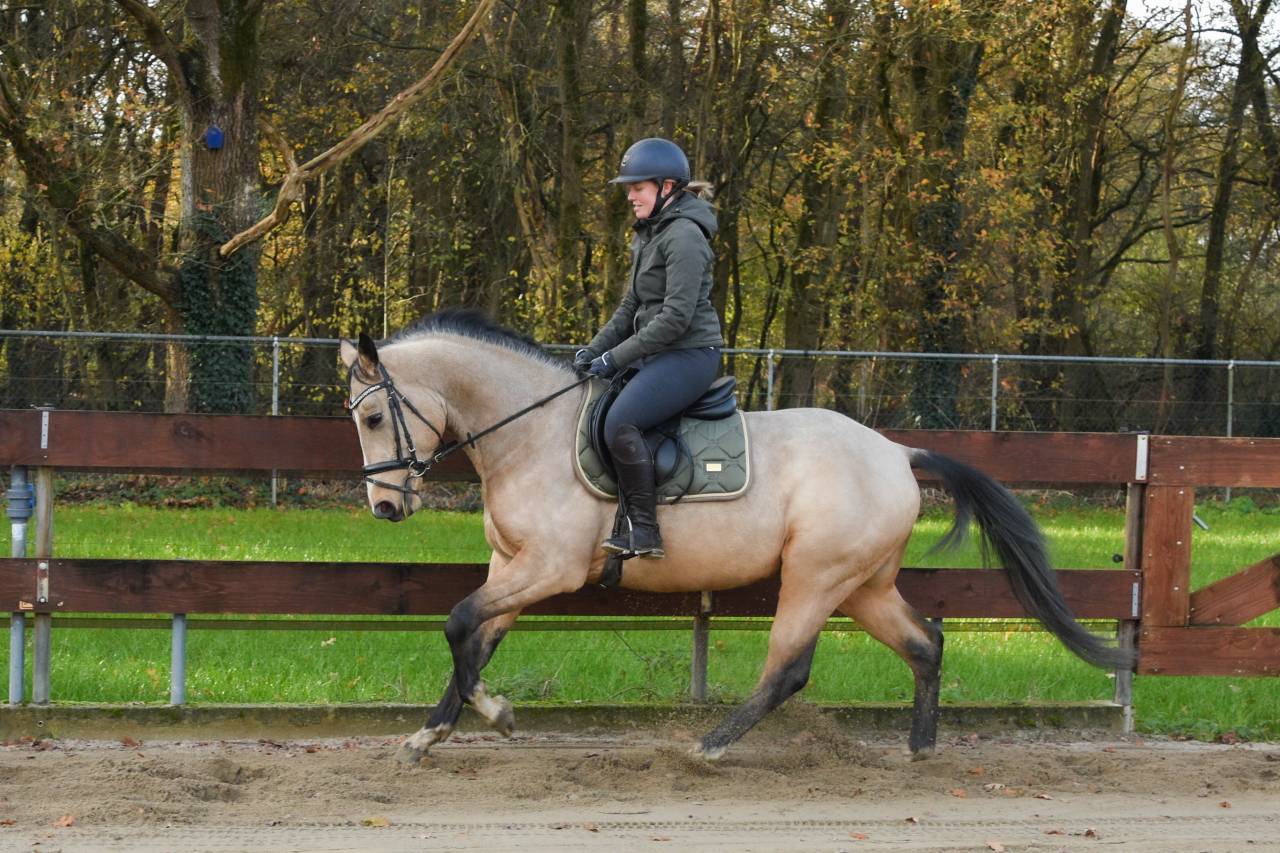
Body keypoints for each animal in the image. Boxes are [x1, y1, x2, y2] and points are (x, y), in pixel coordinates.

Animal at [339, 310, 1133, 764]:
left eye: (374, 416)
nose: (385, 507)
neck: (528, 432)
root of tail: (895, 452)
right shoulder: (513, 564)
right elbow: (475, 638)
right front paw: (434, 731)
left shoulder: (550, 567)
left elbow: (457, 622)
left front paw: (496, 716)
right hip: (864, 585)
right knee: (924, 643)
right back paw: (919, 748)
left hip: (815, 575)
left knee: (788, 668)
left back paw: (710, 745)